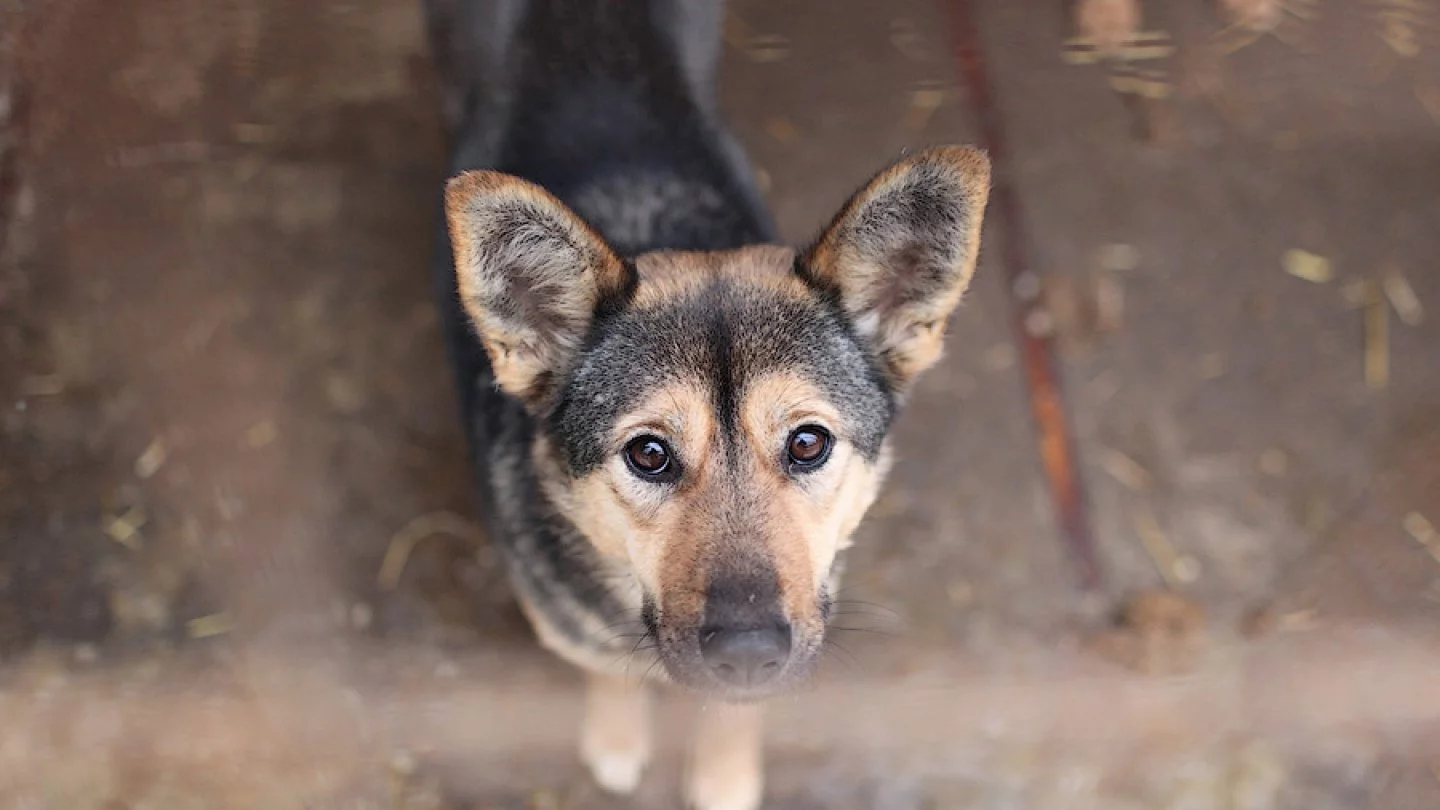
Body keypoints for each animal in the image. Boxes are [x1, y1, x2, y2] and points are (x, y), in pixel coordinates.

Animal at [420, 3, 996, 801]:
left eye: (808, 443)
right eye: (648, 454)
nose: (749, 650)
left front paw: (723, 775)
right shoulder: (573, 627)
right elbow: (609, 668)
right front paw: (617, 739)